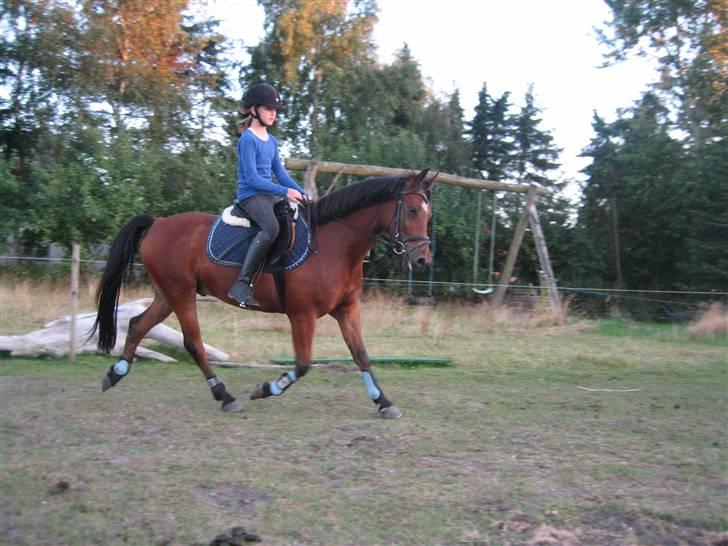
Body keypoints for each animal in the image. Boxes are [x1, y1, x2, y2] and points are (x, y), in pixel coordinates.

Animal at [91, 169, 437, 418]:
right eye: (411, 210)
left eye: (428, 213)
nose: (423, 260)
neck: (335, 246)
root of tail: (159, 222)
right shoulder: (302, 315)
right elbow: (303, 363)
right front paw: (266, 389)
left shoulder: (347, 310)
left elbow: (362, 356)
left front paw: (384, 402)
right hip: (181, 295)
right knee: (193, 343)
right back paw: (224, 396)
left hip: (168, 294)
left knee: (137, 325)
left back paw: (114, 374)